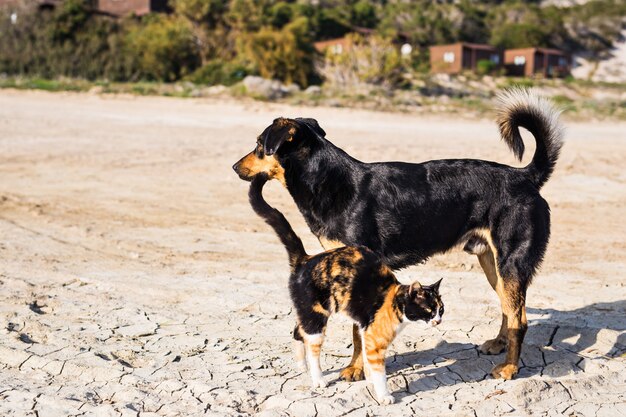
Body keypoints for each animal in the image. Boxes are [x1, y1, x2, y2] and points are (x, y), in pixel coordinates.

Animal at [233, 88, 560, 380]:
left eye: (260, 144)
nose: (235, 167)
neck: (328, 180)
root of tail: (525, 176)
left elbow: (357, 333)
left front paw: (355, 370)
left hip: (510, 263)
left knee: (520, 319)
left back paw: (510, 369)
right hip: (493, 264)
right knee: (509, 309)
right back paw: (499, 344)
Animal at [246, 174, 442, 404]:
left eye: (441, 309)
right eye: (429, 310)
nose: (438, 320)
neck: (394, 300)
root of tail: (305, 259)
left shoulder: (365, 333)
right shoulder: (374, 341)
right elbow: (379, 371)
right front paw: (384, 396)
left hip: (306, 313)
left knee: (297, 332)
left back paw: (301, 365)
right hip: (316, 317)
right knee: (312, 348)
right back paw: (318, 380)